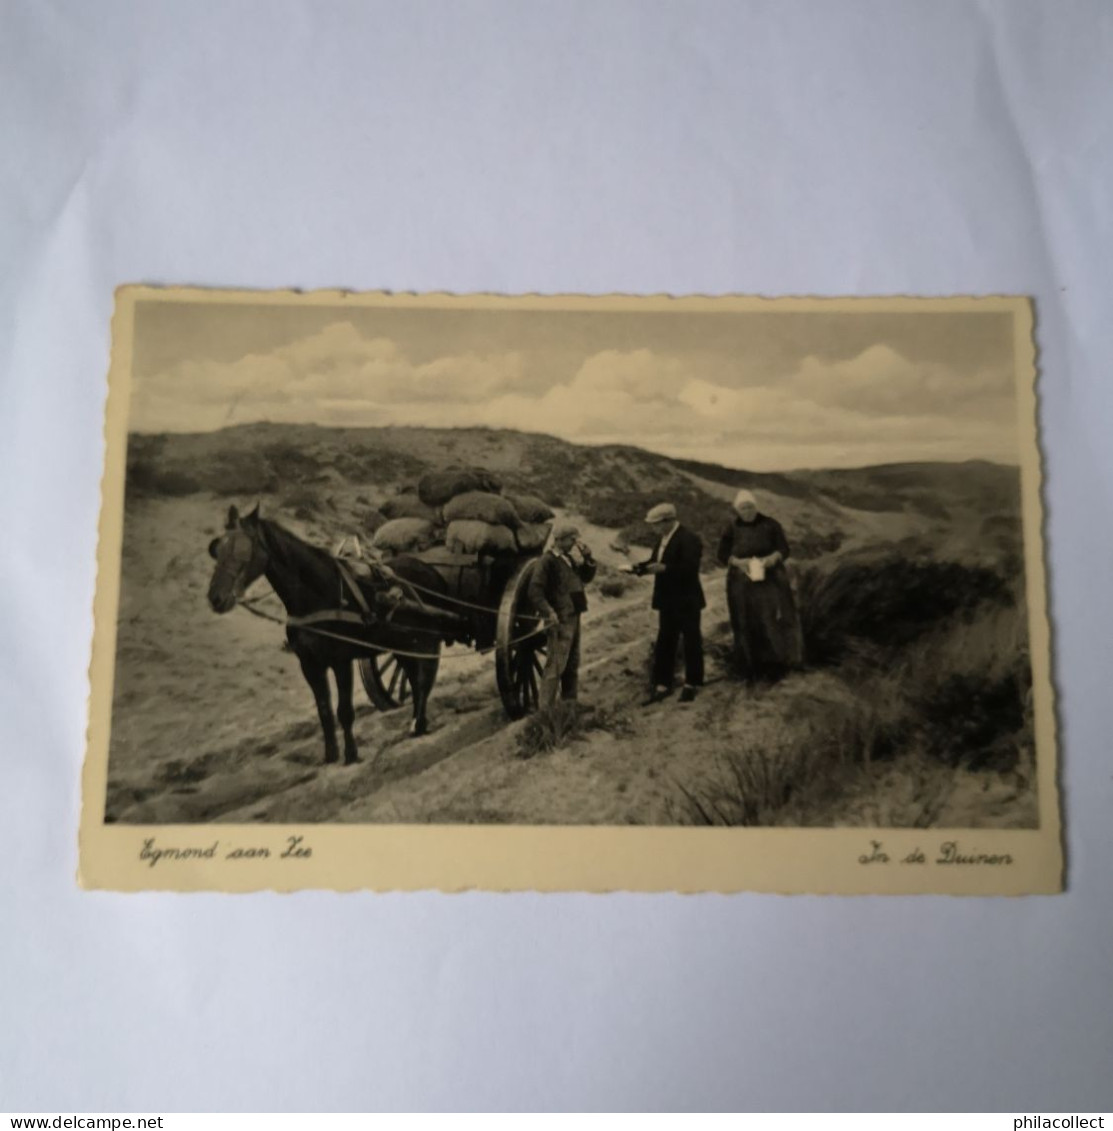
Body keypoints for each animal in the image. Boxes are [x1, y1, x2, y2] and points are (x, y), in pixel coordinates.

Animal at [206, 508, 450, 764]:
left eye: (242, 549)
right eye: (217, 550)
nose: (215, 598)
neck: (318, 595)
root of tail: (430, 569)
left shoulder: (341, 661)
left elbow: (344, 711)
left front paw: (351, 755)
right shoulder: (310, 664)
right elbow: (324, 710)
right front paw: (330, 755)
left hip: (425, 640)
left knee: (424, 679)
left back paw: (419, 724)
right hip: (403, 644)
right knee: (413, 677)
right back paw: (416, 722)